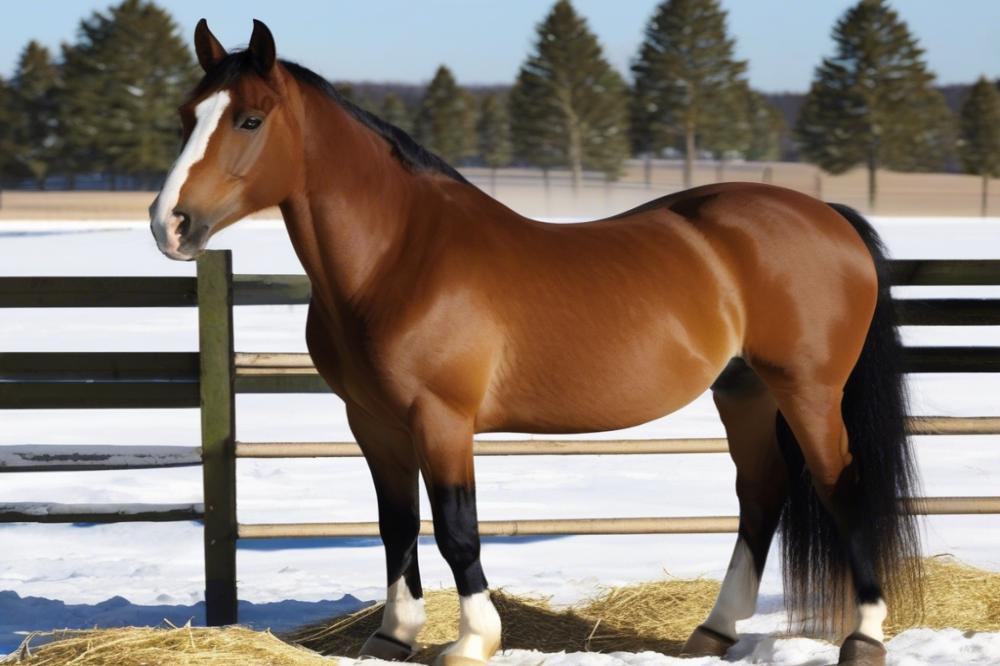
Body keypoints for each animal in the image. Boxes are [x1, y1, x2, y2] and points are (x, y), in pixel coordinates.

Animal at [148, 20, 920, 664]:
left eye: (250, 118)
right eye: (188, 117)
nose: (170, 225)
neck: (400, 256)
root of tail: (829, 216)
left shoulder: (441, 420)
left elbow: (456, 528)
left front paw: (473, 641)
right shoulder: (372, 422)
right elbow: (396, 524)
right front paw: (392, 636)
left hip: (808, 390)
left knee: (842, 488)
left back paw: (862, 638)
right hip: (744, 389)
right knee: (761, 491)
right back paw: (713, 630)